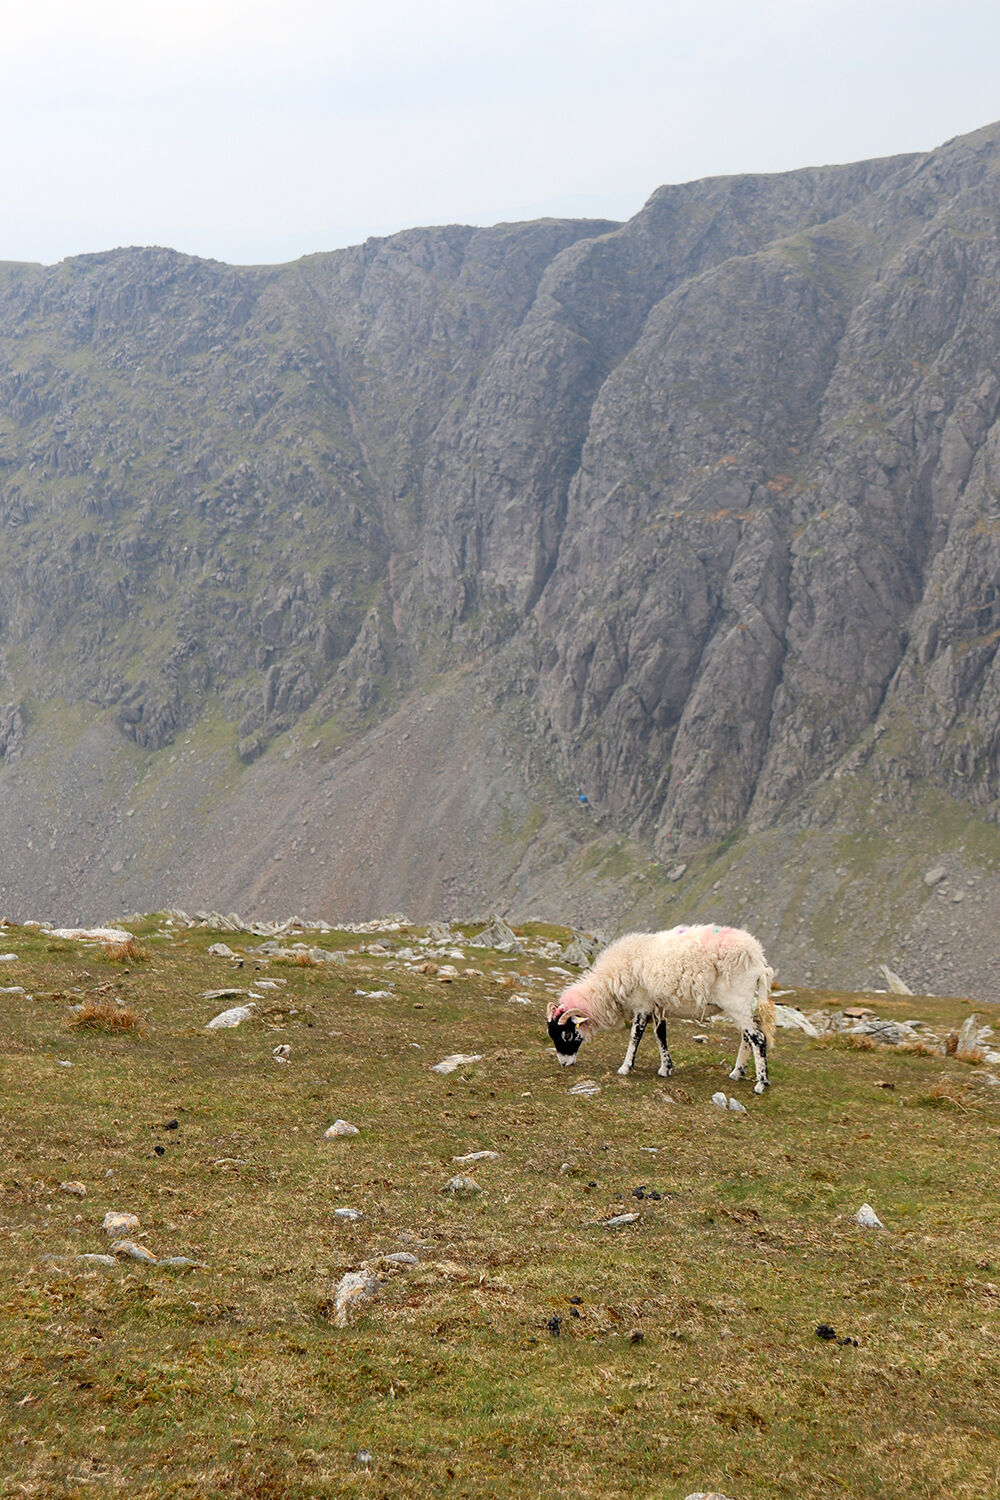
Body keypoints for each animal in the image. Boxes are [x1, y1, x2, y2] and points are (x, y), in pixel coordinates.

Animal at [546, 924, 776, 1093]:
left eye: (567, 1034)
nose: (564, 1064)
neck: (608, 985)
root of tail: (758, 959)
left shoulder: (641, 1004)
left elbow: (635, 1037)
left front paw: (625, 1067)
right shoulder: (657, 1007)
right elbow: (660, 1036)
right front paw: (666, 1068)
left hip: (736, 1001)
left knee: (758, 1038)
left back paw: (761, 1083)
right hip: (741, 1005)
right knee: (747, 1037)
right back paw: (737, 1072)